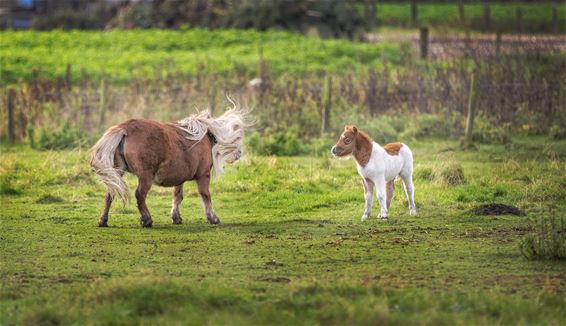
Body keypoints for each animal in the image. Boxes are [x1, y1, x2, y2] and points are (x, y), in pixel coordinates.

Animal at [89, 109, 248, 227]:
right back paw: (146, 219)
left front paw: (176, 217)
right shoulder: (203, 175)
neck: (202, 135)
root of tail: (124, 127)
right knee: (140, 195)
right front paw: (213, 218)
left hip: (117, 172)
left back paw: (103, 220)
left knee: (111, 193)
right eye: (238, 138)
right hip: (145, 176)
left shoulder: (179, 178)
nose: (239, 154)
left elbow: (177, 196)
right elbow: (205, 195)